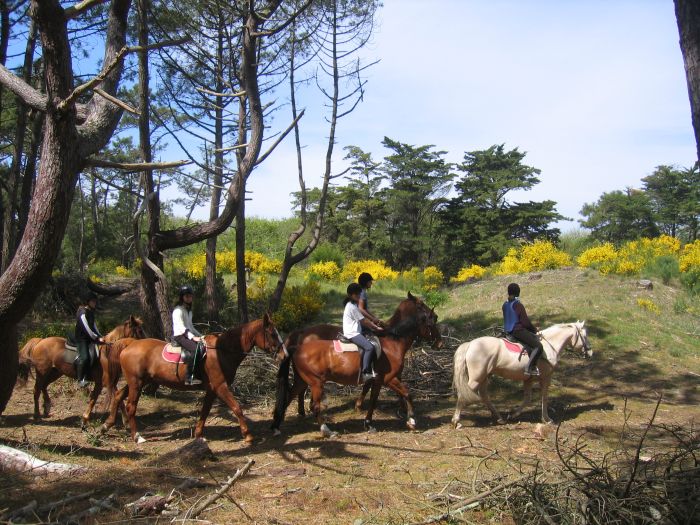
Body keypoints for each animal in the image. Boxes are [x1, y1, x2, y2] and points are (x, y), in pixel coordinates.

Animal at [16, 312, 146, 426]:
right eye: (139, 331)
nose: (145, 344)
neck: (108, 352)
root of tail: (40, 341)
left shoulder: (107, 383)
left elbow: (114, 399)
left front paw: (125, 421)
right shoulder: (105, 382)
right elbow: (108, 399)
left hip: (55, 372)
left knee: (43, 386)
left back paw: (47, 408)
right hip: (42, 372)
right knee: (36, 390)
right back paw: (37, 415)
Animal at [100, 314, 284, 444]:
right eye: (272, 334)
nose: (283, 354)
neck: (221, 350)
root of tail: (130, 343)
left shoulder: (212, 389)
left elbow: (205, 411)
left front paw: (198, 435)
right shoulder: (221, 386)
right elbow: (236, 408)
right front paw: (248, 436)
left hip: (138, 382)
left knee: (118, 396)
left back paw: (106, 425)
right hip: (136, 383)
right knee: (131, 407)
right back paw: (137, 437)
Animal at [270, 292, 440, 436]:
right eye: (432, 320)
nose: (439, 343)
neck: (392, 343)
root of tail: (298, 346)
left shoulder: (378, 381)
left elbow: (373, 400)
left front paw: (368, 423)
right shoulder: (389, 379)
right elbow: (406, 393)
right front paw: (411, 420)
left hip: (302, 380)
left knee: (288, 398)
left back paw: (277, 426)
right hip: (315, 382)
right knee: (314, 406)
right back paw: (326, 431)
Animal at [452, 320, 592, 426]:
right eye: (585, 335)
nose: (590, 352)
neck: (549, 346)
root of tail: (470, 344)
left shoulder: (528, 380)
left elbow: (527, 399)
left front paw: (513, 415)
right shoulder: (546, 377)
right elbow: (544, 397)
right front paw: (546, 419)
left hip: (484, 377)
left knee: (484, 396)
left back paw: (500, 418)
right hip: (477, 378)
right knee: (463, 394)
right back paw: (456, 421)